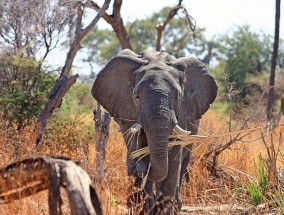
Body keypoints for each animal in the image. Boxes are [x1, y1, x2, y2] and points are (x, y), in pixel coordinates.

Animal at [91, 49, 217, 215]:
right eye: (137, 97)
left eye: (177, 97)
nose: (143, 167)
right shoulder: (127, 109)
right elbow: (134, 144)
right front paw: (142, 208)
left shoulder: (183, 112)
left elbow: (173, 156)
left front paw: (161, 211)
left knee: (184, 160)